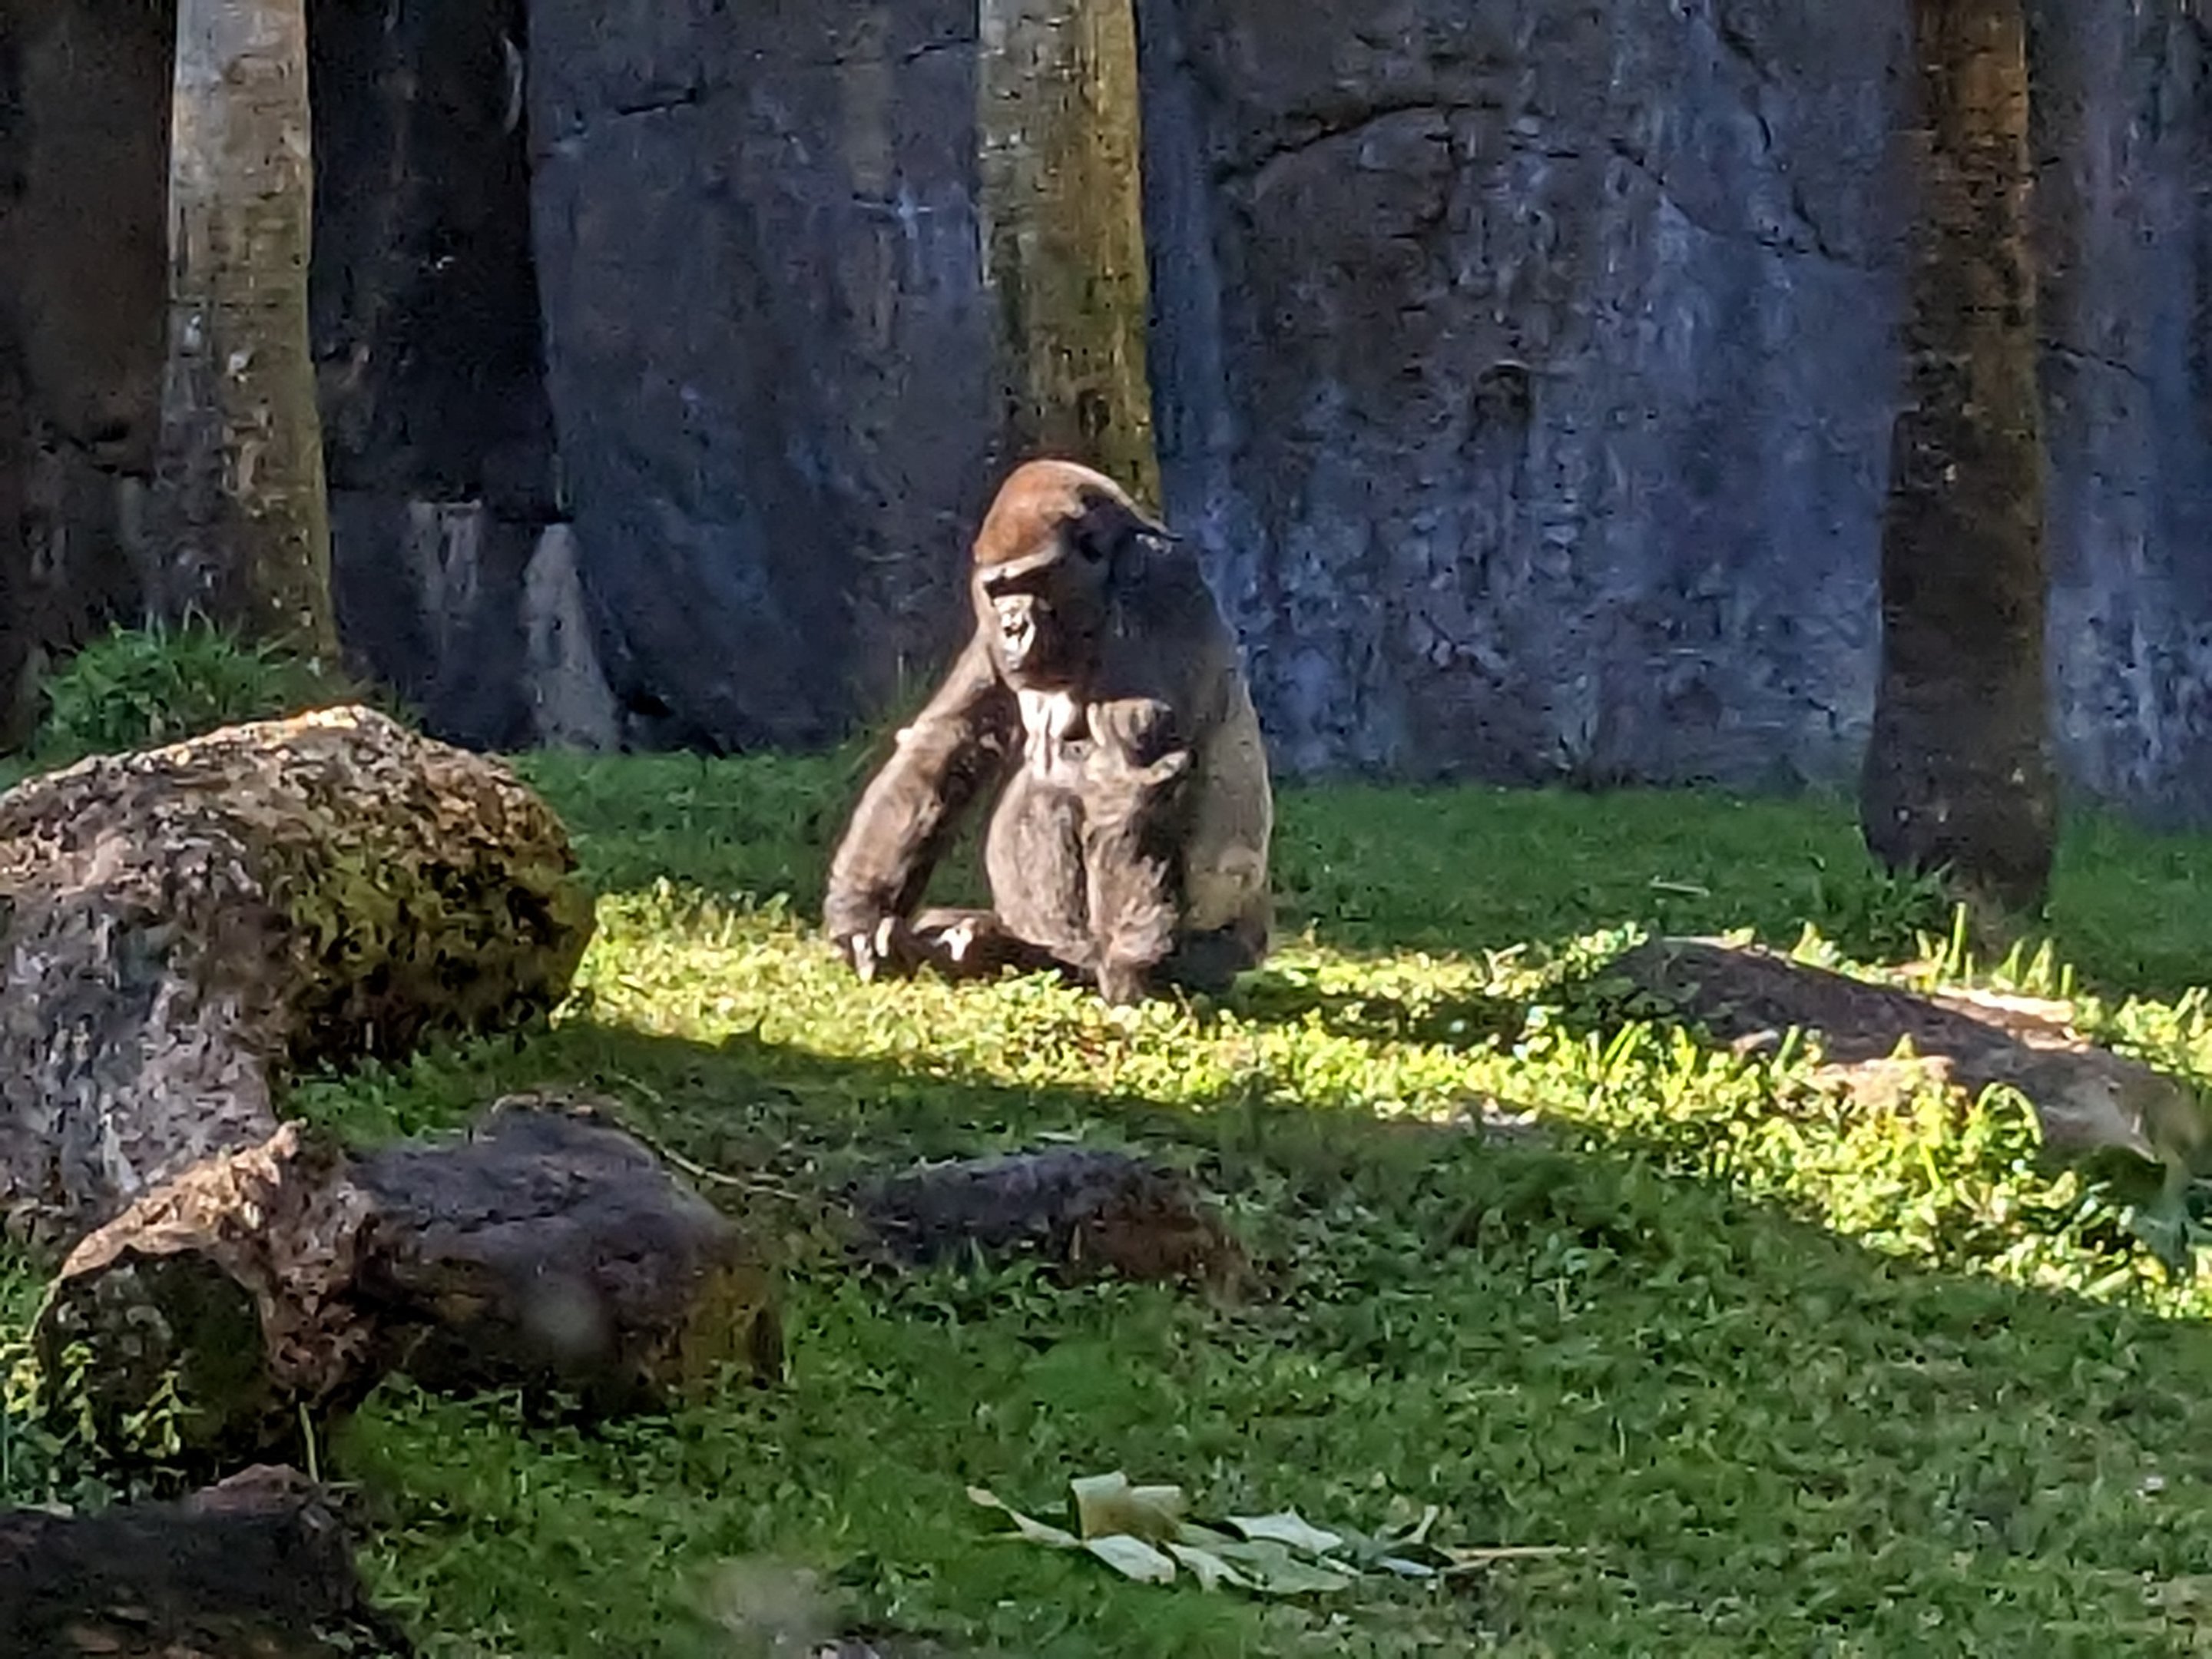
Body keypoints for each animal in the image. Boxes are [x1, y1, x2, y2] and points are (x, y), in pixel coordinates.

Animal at [820, 458, 1273, 1005]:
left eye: (1033, 580)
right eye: (997, 590)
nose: (1014, 627)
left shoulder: (1157, 583)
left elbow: (1125, 775)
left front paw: (1130, 971)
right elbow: (948, 740)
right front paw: (860, 915)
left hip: (1217, 957)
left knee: (1061, 792)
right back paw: (965, 941)